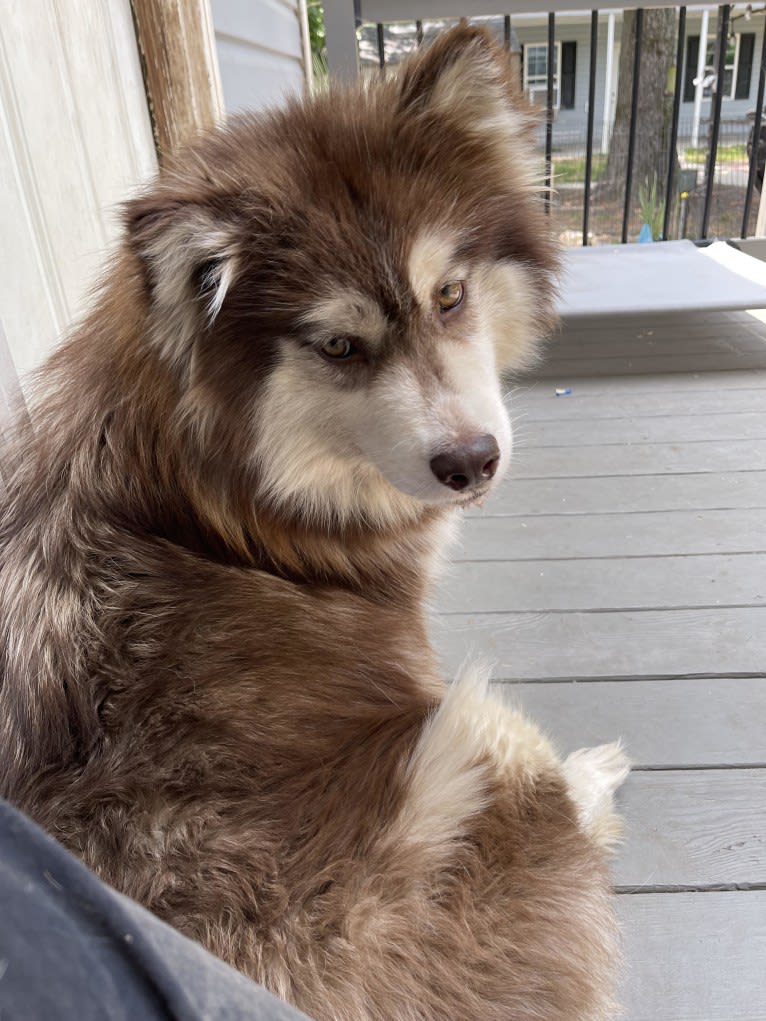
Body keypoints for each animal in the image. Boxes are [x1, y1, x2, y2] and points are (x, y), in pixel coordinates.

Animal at [0, 23, 629, 1021]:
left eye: (450, 295)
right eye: (340, 346)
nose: (473, 461)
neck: (197, 496)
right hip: (477, 740)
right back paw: (596, 777)